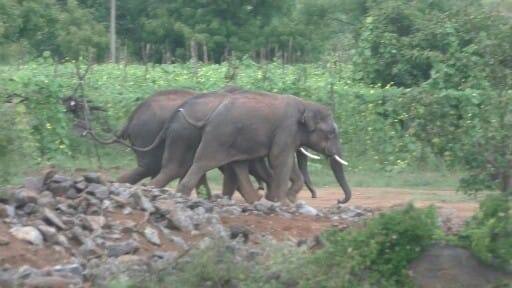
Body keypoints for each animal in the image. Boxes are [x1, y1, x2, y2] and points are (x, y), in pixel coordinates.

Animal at [146, 89, 350, 204]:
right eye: (331, 133)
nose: (339, 200)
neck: (305, 104)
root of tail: (211, 116)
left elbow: (284, 160)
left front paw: (285, 199)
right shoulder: (286, 128)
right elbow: (279, 158)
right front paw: (283, 202)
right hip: (216, 137)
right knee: (199, 164)